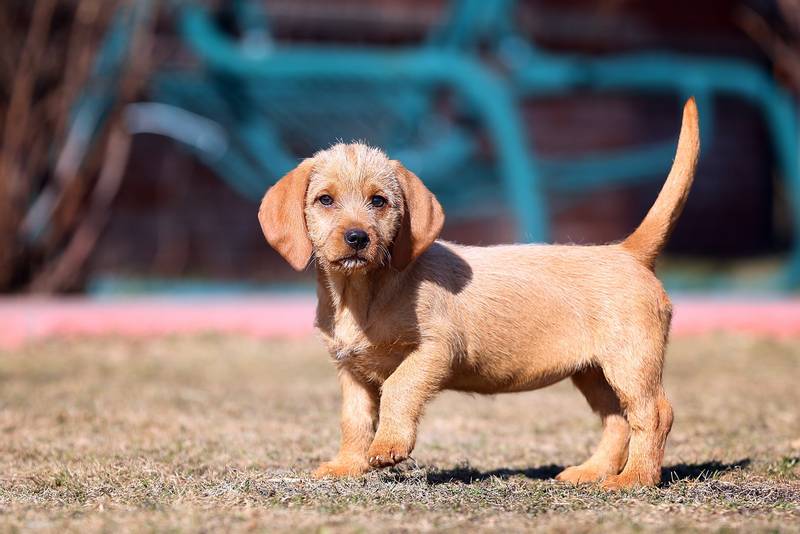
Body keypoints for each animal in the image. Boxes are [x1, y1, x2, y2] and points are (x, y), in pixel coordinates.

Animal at [258, 98, 700, 492]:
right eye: (325, 200)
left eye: (379, 201)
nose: (357, 238)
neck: (364, 292)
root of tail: (628, 251)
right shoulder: (351, 369)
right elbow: (354, 420)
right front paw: (347, 465)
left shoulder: (435, 349)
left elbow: (399, 386)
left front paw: (388, 445)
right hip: (594, 372)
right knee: (618, 420)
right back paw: (592, 472)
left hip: (631, 361)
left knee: (653, 414)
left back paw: (635, 478)